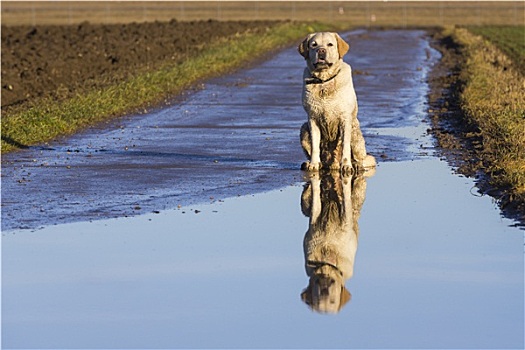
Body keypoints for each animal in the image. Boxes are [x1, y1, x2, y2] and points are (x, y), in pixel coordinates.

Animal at [296, 32, 374, 175]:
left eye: (330, 44)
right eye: (314, 45)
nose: (321, 50)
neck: (324, 81)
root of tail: (333, 165)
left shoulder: (345, 119)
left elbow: (345, 146)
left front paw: (347, 165)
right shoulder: (312, 118)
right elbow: (315, 145)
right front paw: (314, 164)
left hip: (355, 130)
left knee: (361, 158)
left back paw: (356, 165)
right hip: (304, 129)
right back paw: (310, 163)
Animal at [300, 171, 366, 314]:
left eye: (332, 301)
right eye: (318, 301)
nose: (325, 290)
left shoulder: (346, 220)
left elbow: (346, 199)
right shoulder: (313, 218)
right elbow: (315, 202)